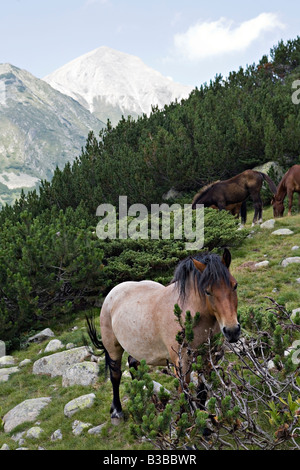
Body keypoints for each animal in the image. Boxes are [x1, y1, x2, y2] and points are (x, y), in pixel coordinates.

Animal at [86, 250, 239, 418]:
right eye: (207, 291)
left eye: (235, 285)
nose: (232, 331)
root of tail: (113, 293)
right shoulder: (181, 363)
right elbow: (184, 394)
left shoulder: (207, 357)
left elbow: (202, 391)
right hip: (113, 348)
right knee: (115, 376)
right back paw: (117, 411)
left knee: (133, 363)